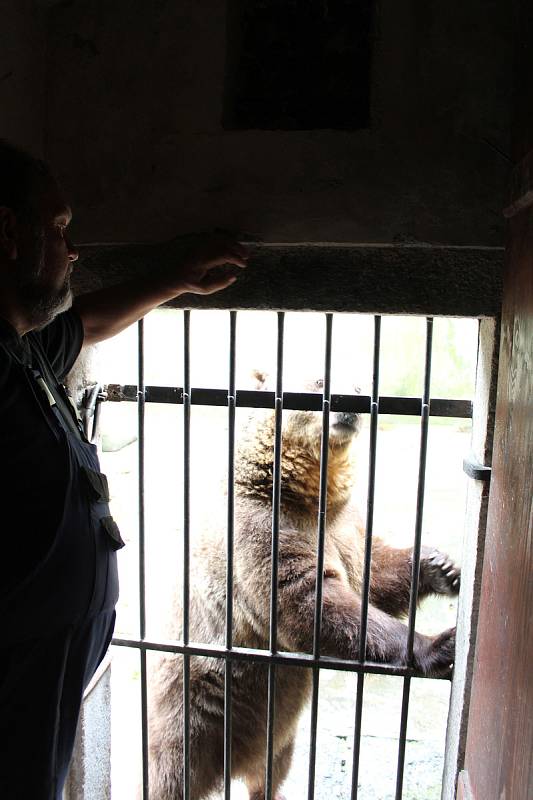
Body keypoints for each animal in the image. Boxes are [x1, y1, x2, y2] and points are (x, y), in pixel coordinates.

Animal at [148, 382, 460, 800]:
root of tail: (234, 763)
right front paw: (440, 644)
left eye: (359, 385)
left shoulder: (345, 527)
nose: (351, 408)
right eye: (320, 383)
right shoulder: (261, 529)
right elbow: (308, 602)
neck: (306, 494)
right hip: (194, 702)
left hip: (277, 731)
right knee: (170, 769)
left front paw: (441, 566)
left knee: (271, 769)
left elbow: (372, 576)